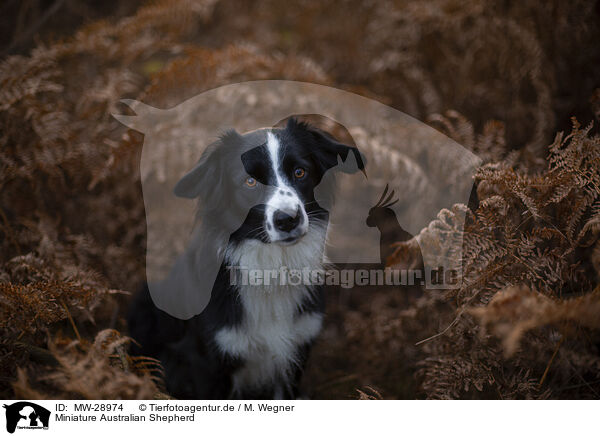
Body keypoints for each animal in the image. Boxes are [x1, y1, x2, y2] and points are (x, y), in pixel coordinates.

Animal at [129, 118, 366, 398]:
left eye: (300, 172)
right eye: (250, 182)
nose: (288, 220)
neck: (271, 270)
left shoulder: (294, 355)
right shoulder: (206, 363)